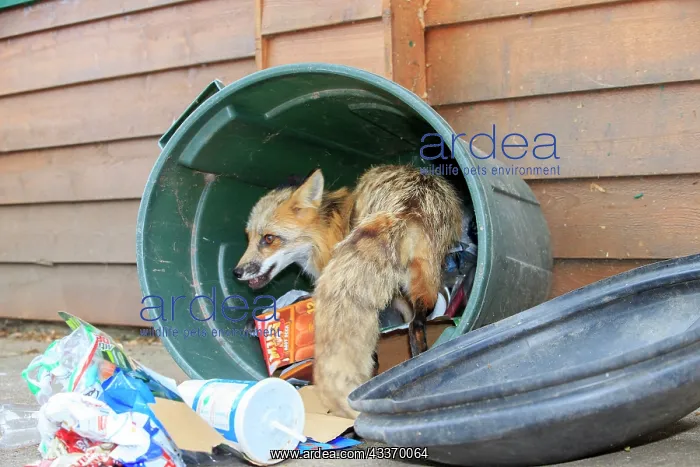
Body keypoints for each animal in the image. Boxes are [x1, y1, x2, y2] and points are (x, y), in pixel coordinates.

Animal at [233, 164, 463, 418]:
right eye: (248, 237)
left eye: (269, 238)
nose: (236, 272)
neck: (330, 232)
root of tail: (409, 204)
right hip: (425, 277)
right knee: (417, 324)